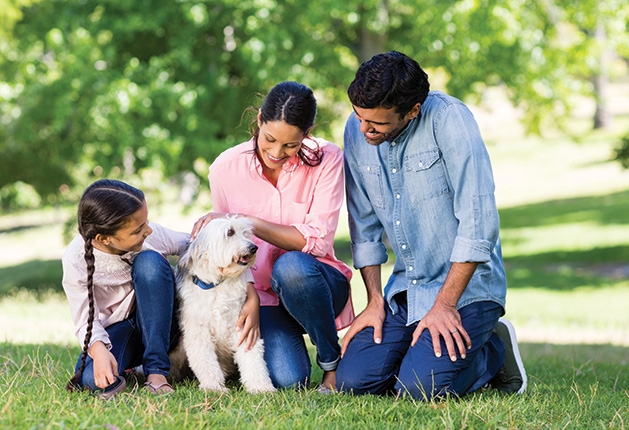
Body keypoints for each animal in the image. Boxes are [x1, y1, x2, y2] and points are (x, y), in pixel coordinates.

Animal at [168, 215, 274, 394]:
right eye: (230, 232)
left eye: (245, 233)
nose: (254, 248)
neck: (215, 285)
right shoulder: (198, 332)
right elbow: (206, 362)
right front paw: (214, 387)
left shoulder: (242, 326)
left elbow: (253, 358)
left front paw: (260, 387)